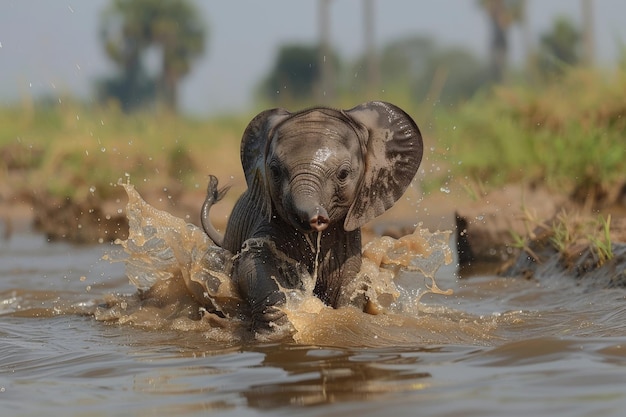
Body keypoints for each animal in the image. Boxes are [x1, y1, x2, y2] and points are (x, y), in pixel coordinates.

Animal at [202, 101, 422, 332]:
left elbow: (348, 280)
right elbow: (252, 262)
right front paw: (276, 328)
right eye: (275, 171)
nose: (317, 219)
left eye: (343, 174)